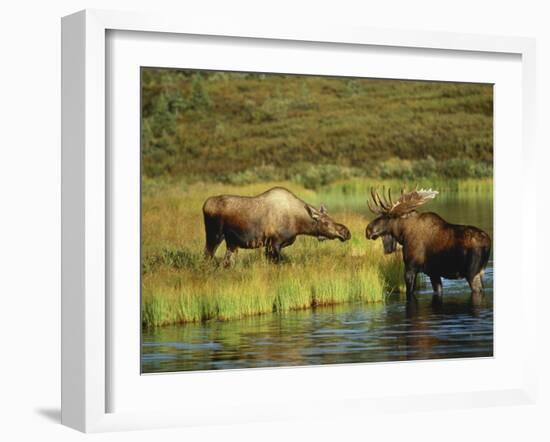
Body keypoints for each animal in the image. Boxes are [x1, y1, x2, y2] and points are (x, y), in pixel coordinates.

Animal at [204, 185, 354, 264]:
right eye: (326, 222)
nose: (346, 232)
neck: (298, 224)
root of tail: (204, 205)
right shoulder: (274, 243)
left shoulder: (271, 246)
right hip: (214, 236)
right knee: (207, 256)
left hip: (231, 243)